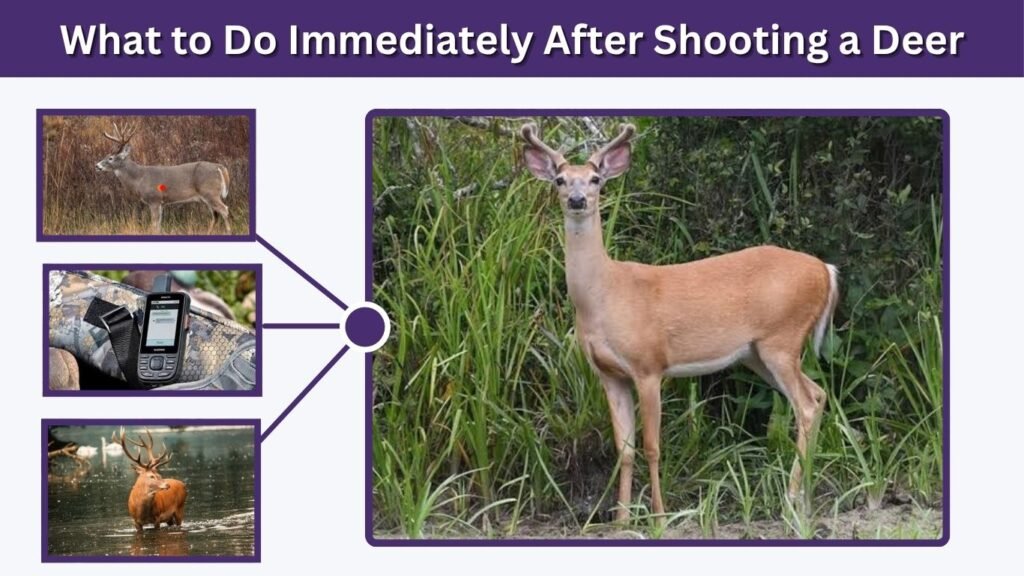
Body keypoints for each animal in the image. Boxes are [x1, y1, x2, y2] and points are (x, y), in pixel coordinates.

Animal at [95, 121, 232, 235]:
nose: (97, 165)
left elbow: (154, 225)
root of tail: (220, 167)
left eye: (110, 158)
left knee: (224, 209)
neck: (139, 178)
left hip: (210, 192)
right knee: (215, 215)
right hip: (207, 197)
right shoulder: (161, 203)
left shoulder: (154, 199)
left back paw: (228, 232)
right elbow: (159, 225)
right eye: (106, 155)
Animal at [521, 123, 839, 525]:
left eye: (595, 180)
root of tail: (825, 271)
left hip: (782, 338)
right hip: (758, 353)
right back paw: (806, 500)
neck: (605, 295)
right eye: (560, 180)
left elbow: (652, 446)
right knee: (818, 393)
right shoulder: (608, 373)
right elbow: (624, 448)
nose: (578, 200)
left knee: (807, 405)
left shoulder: (648, 365)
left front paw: (659, 516)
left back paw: (790, 499)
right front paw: (622, 520)